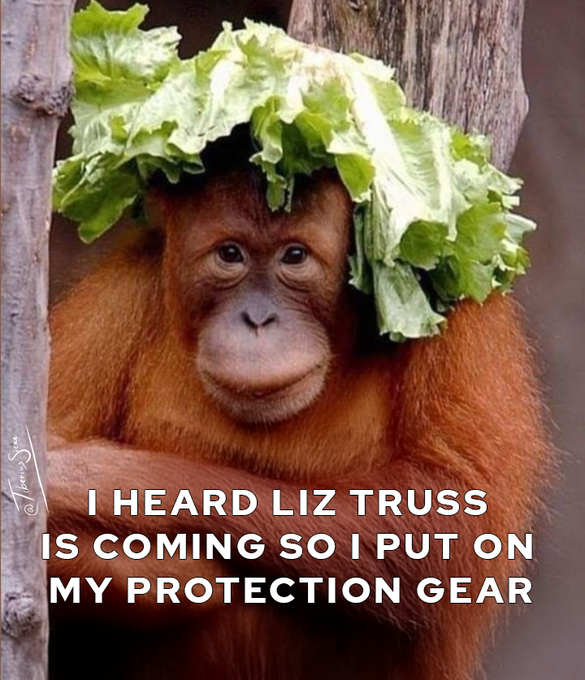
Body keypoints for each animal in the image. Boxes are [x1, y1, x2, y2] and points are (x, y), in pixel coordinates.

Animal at [47, 134, 549, 680]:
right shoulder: (119, 292)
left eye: (294, 256)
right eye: (230, 254)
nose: (258, 319)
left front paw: (87, 479)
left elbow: (452, 510)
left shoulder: (458, 304)